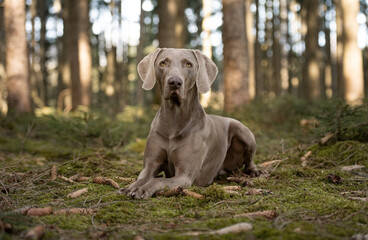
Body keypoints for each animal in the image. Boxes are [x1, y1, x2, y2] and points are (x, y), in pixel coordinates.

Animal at [122, 47, 260, 199]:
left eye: (188, 64)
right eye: (163, 63)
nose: (174, 82)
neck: (174, 119)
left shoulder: (184, 175)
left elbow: (157, 180)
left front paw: (142, 189)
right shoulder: (151, 164)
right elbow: (142, 178)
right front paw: (130, 187)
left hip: (243, 131)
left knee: (250, 160)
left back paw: (254, 172)